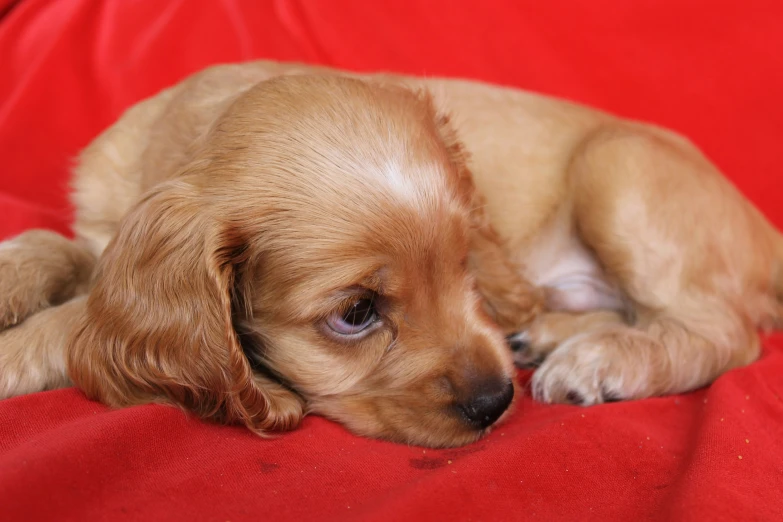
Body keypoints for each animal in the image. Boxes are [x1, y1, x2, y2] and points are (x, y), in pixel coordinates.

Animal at [1, 59, 783, 444]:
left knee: (722, 331)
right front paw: (13, 275)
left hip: (615, 168)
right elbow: (61, 248)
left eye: (466, 263)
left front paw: (15, 347)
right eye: (356, 313)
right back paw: (545, 335)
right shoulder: (108, 234)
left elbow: (80, 317)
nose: (496, 400)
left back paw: (603, 360)